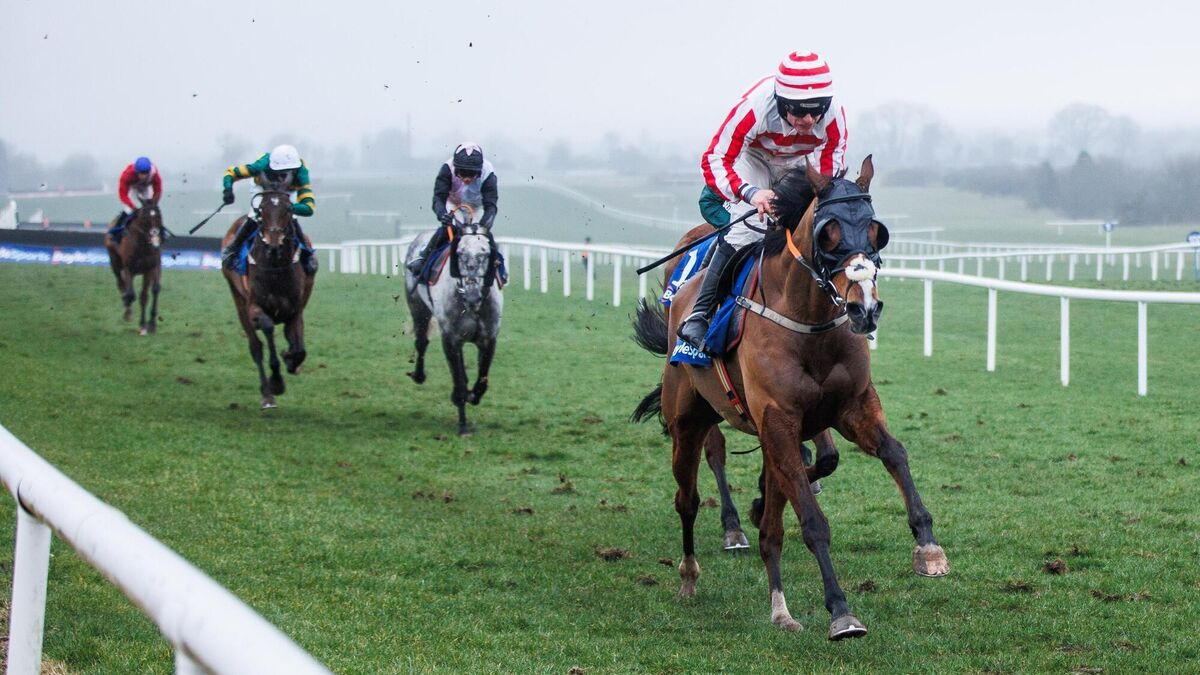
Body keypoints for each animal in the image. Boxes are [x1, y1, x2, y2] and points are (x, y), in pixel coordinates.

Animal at [104, 201, 163, 335]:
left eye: (159, 216)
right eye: (145, 217)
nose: (155, 234)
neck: (142, 245)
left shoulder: (150, 268)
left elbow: (147, 295)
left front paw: (147, 324)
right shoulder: (129, 268)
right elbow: (131, 294)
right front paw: (128, 312)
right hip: (114, 262)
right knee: (120, 283)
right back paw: (126, 307)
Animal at [221, 190, 315, 409]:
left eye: (288, 210)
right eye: (262, 210)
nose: (273, 244)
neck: (275, 267)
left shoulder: (296, 310)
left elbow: (300, 349)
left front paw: (291, 360)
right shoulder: (254, 308)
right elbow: (267, 327)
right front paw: (276, 382)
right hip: (238, 300)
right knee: (256, 347)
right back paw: (267, 395)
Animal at [404, 206, 504, 436]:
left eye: (486, 252)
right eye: (459, 252)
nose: (473, 295)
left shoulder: (488, 338)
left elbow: (481, 381)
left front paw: (472, 395)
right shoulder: (451, 338)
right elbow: (458, 381)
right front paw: (463, 425)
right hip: (417, 306)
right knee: (421, 341)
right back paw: (419, 375)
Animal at [632, 156, 949, 640]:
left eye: (876, 231)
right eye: (828, 233)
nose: (865, 308)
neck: (808, 322)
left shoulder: (849, 407)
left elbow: (894, 453)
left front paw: (928, 546)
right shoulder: (780, 420)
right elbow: (813, 522)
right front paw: (840, 611)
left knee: (771, 525)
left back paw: (778, 604)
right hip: (689, 420)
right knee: (689, 496)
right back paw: (692, 572)